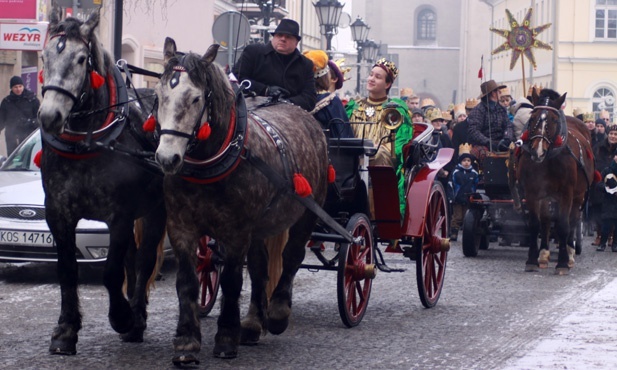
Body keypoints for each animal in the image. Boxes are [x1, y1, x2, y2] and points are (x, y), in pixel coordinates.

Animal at [512, 89, 596, 274]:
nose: (537, 151)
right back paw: (544, 255)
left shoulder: (567, 193)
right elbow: (535, 224)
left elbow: (563, 225)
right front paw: (532, 260)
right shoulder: (532, 192)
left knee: (573, 220)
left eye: (553, 119)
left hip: (578, 195)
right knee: (546, 221)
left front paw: (563, 263)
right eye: (532, 117)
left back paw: (570, 253)